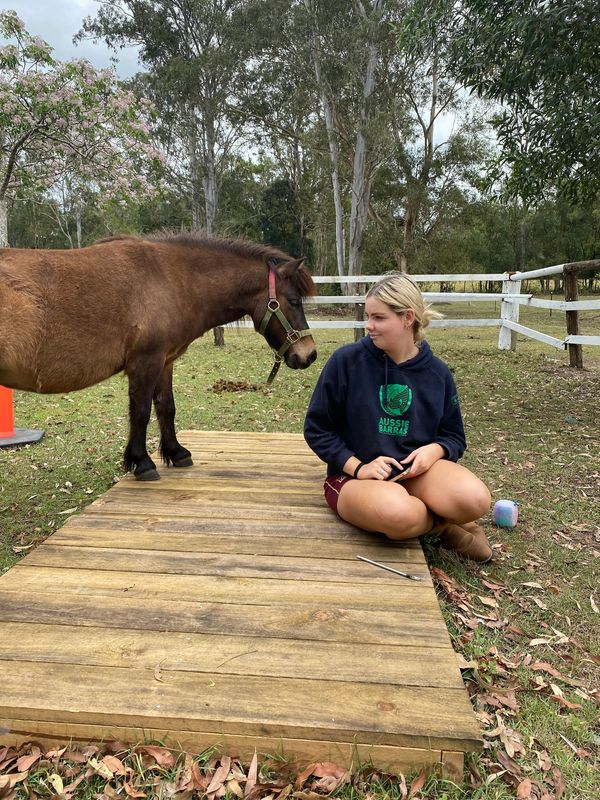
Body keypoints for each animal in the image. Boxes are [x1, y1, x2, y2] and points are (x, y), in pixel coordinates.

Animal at [0, 233, 318, 482]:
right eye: (294, 300)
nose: (310, 354)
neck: (169, 277)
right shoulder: (145, 363)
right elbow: (140, 412)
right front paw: (142, 462)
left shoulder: (165, 362)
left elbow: (166, 407)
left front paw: (176, 452)